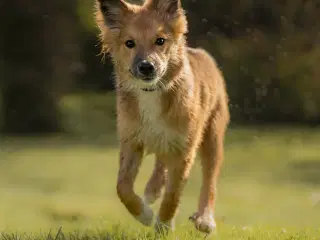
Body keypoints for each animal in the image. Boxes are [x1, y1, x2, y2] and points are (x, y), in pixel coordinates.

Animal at [95, 0, 230, 234]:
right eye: (129, 43)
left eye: (160, 41)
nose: (146, 67)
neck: (152, 92)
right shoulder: (131, 141)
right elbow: (122, 186)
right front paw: (145, 214)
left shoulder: (184, 148)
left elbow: (173, 195)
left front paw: (164, 224)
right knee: (161, 164)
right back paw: (152, 190)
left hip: (212, 135)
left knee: (210, 178)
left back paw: (205, 218)